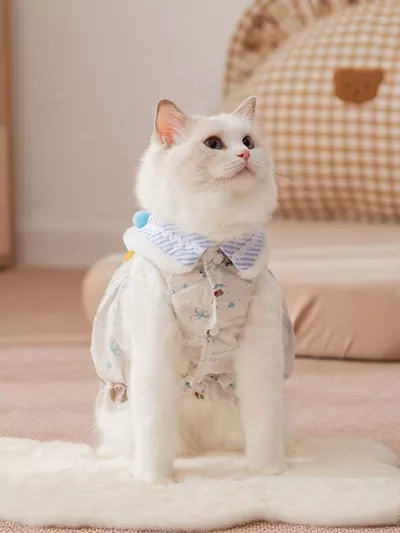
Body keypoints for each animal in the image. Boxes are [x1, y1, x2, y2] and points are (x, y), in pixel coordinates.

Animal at [92, 96, 294, 483]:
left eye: (248, 141)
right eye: (213, 144)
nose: (246, 155)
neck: (213, 245)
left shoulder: (260, 355)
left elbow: (264, 429)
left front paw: (268, 474)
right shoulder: (155, 351)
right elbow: (155, 433)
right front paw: (156, 482)